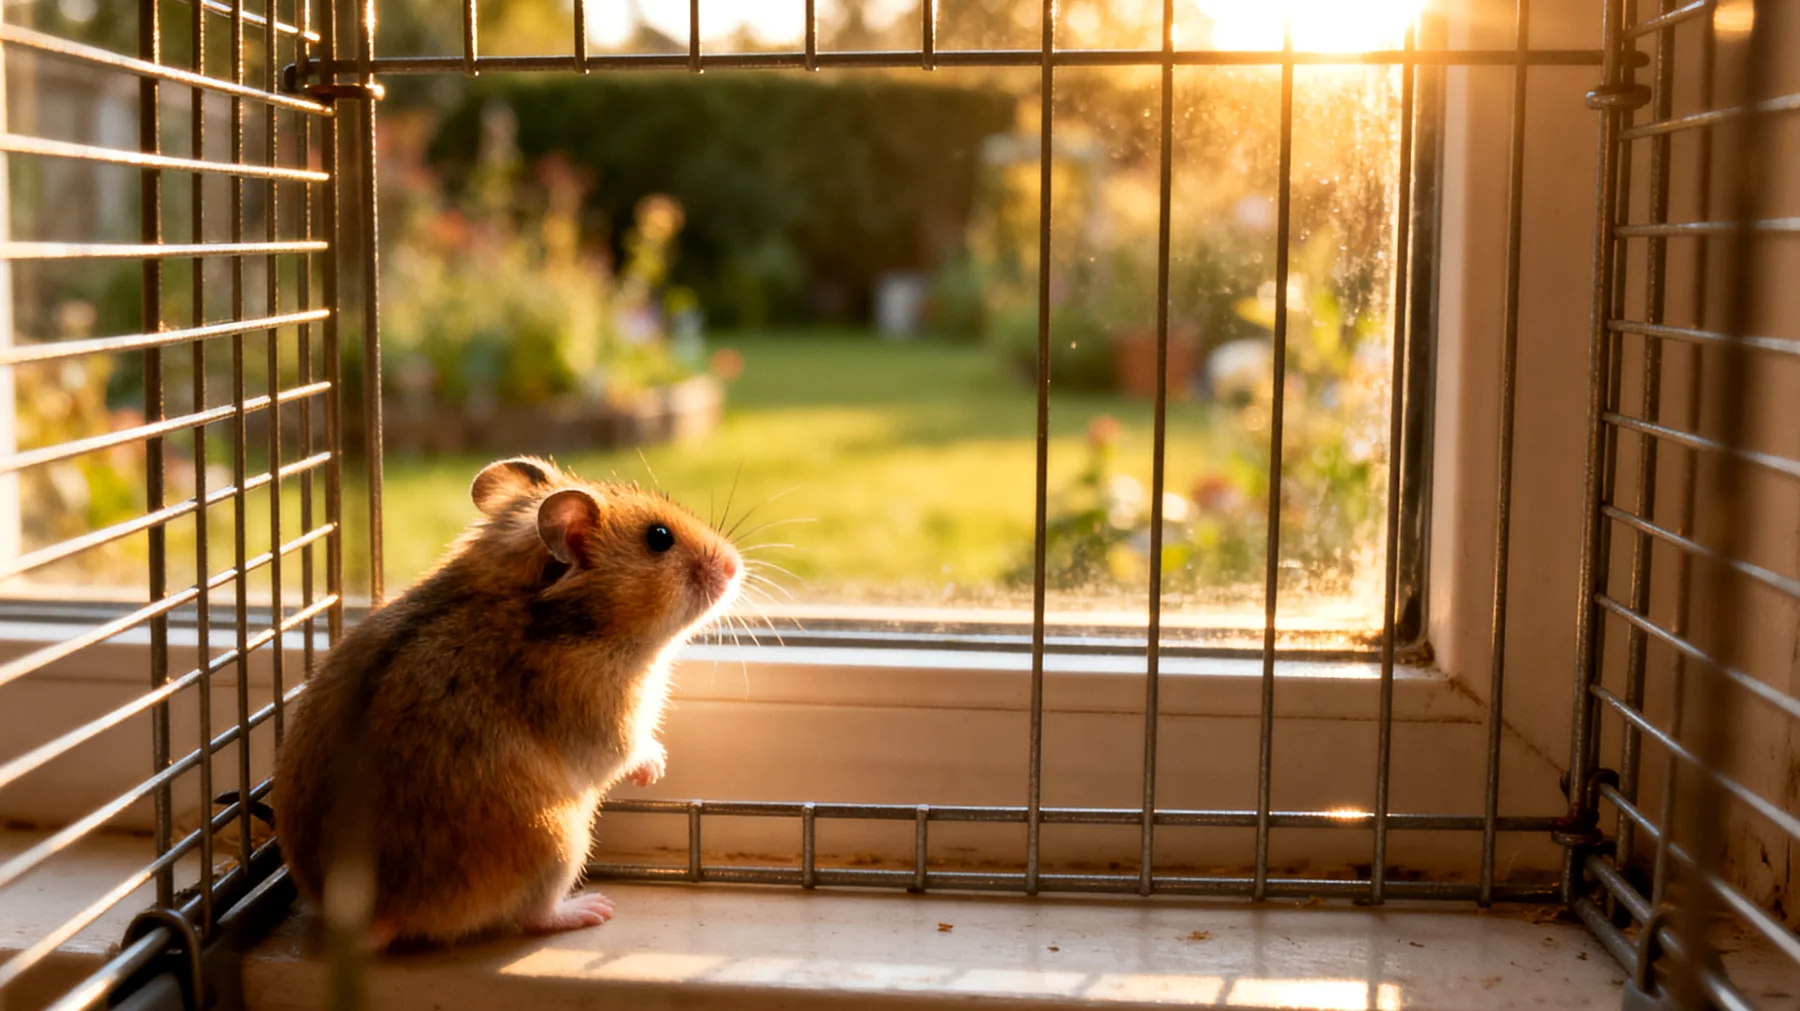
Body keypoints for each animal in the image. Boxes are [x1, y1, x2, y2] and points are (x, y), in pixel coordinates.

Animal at [273, 456, 743, 948]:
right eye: (659, 538)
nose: (736, 565)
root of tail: (378, 916)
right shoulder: (610, 721)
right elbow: (632, 750)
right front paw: (656, 769)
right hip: (559, 842)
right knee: (532, 916)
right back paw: (592, 909)